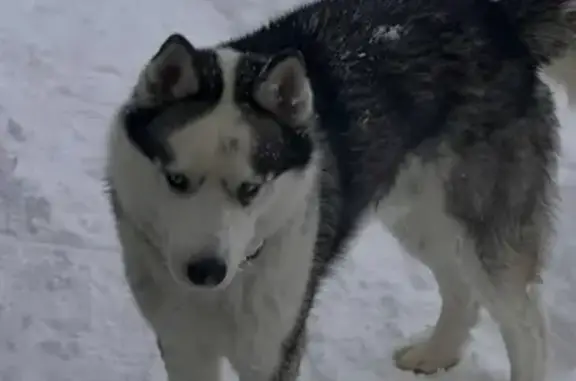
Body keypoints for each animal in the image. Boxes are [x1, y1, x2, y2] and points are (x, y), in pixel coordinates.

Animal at [104, 0, 576, 378]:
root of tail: (494, 16)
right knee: (461, 288)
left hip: (480, 225)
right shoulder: (182, 343)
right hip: (421, 218)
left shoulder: (272, 349)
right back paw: (435, 354)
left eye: (251, 188)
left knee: (527, 328)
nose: (206, 271)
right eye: (176, 180)